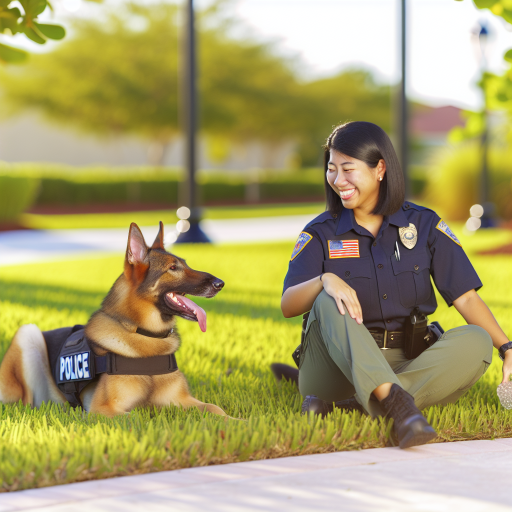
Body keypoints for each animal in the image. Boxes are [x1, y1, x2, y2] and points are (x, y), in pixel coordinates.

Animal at [0, 222, 228, 418]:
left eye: (186, 264)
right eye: (173, 268)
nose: (220, 284)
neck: (144, 334)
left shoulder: (184, 400)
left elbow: (215, 408)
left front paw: (236, 423)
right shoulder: (103, 409)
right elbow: (140, 417)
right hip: (28, 334)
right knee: (25, 402)